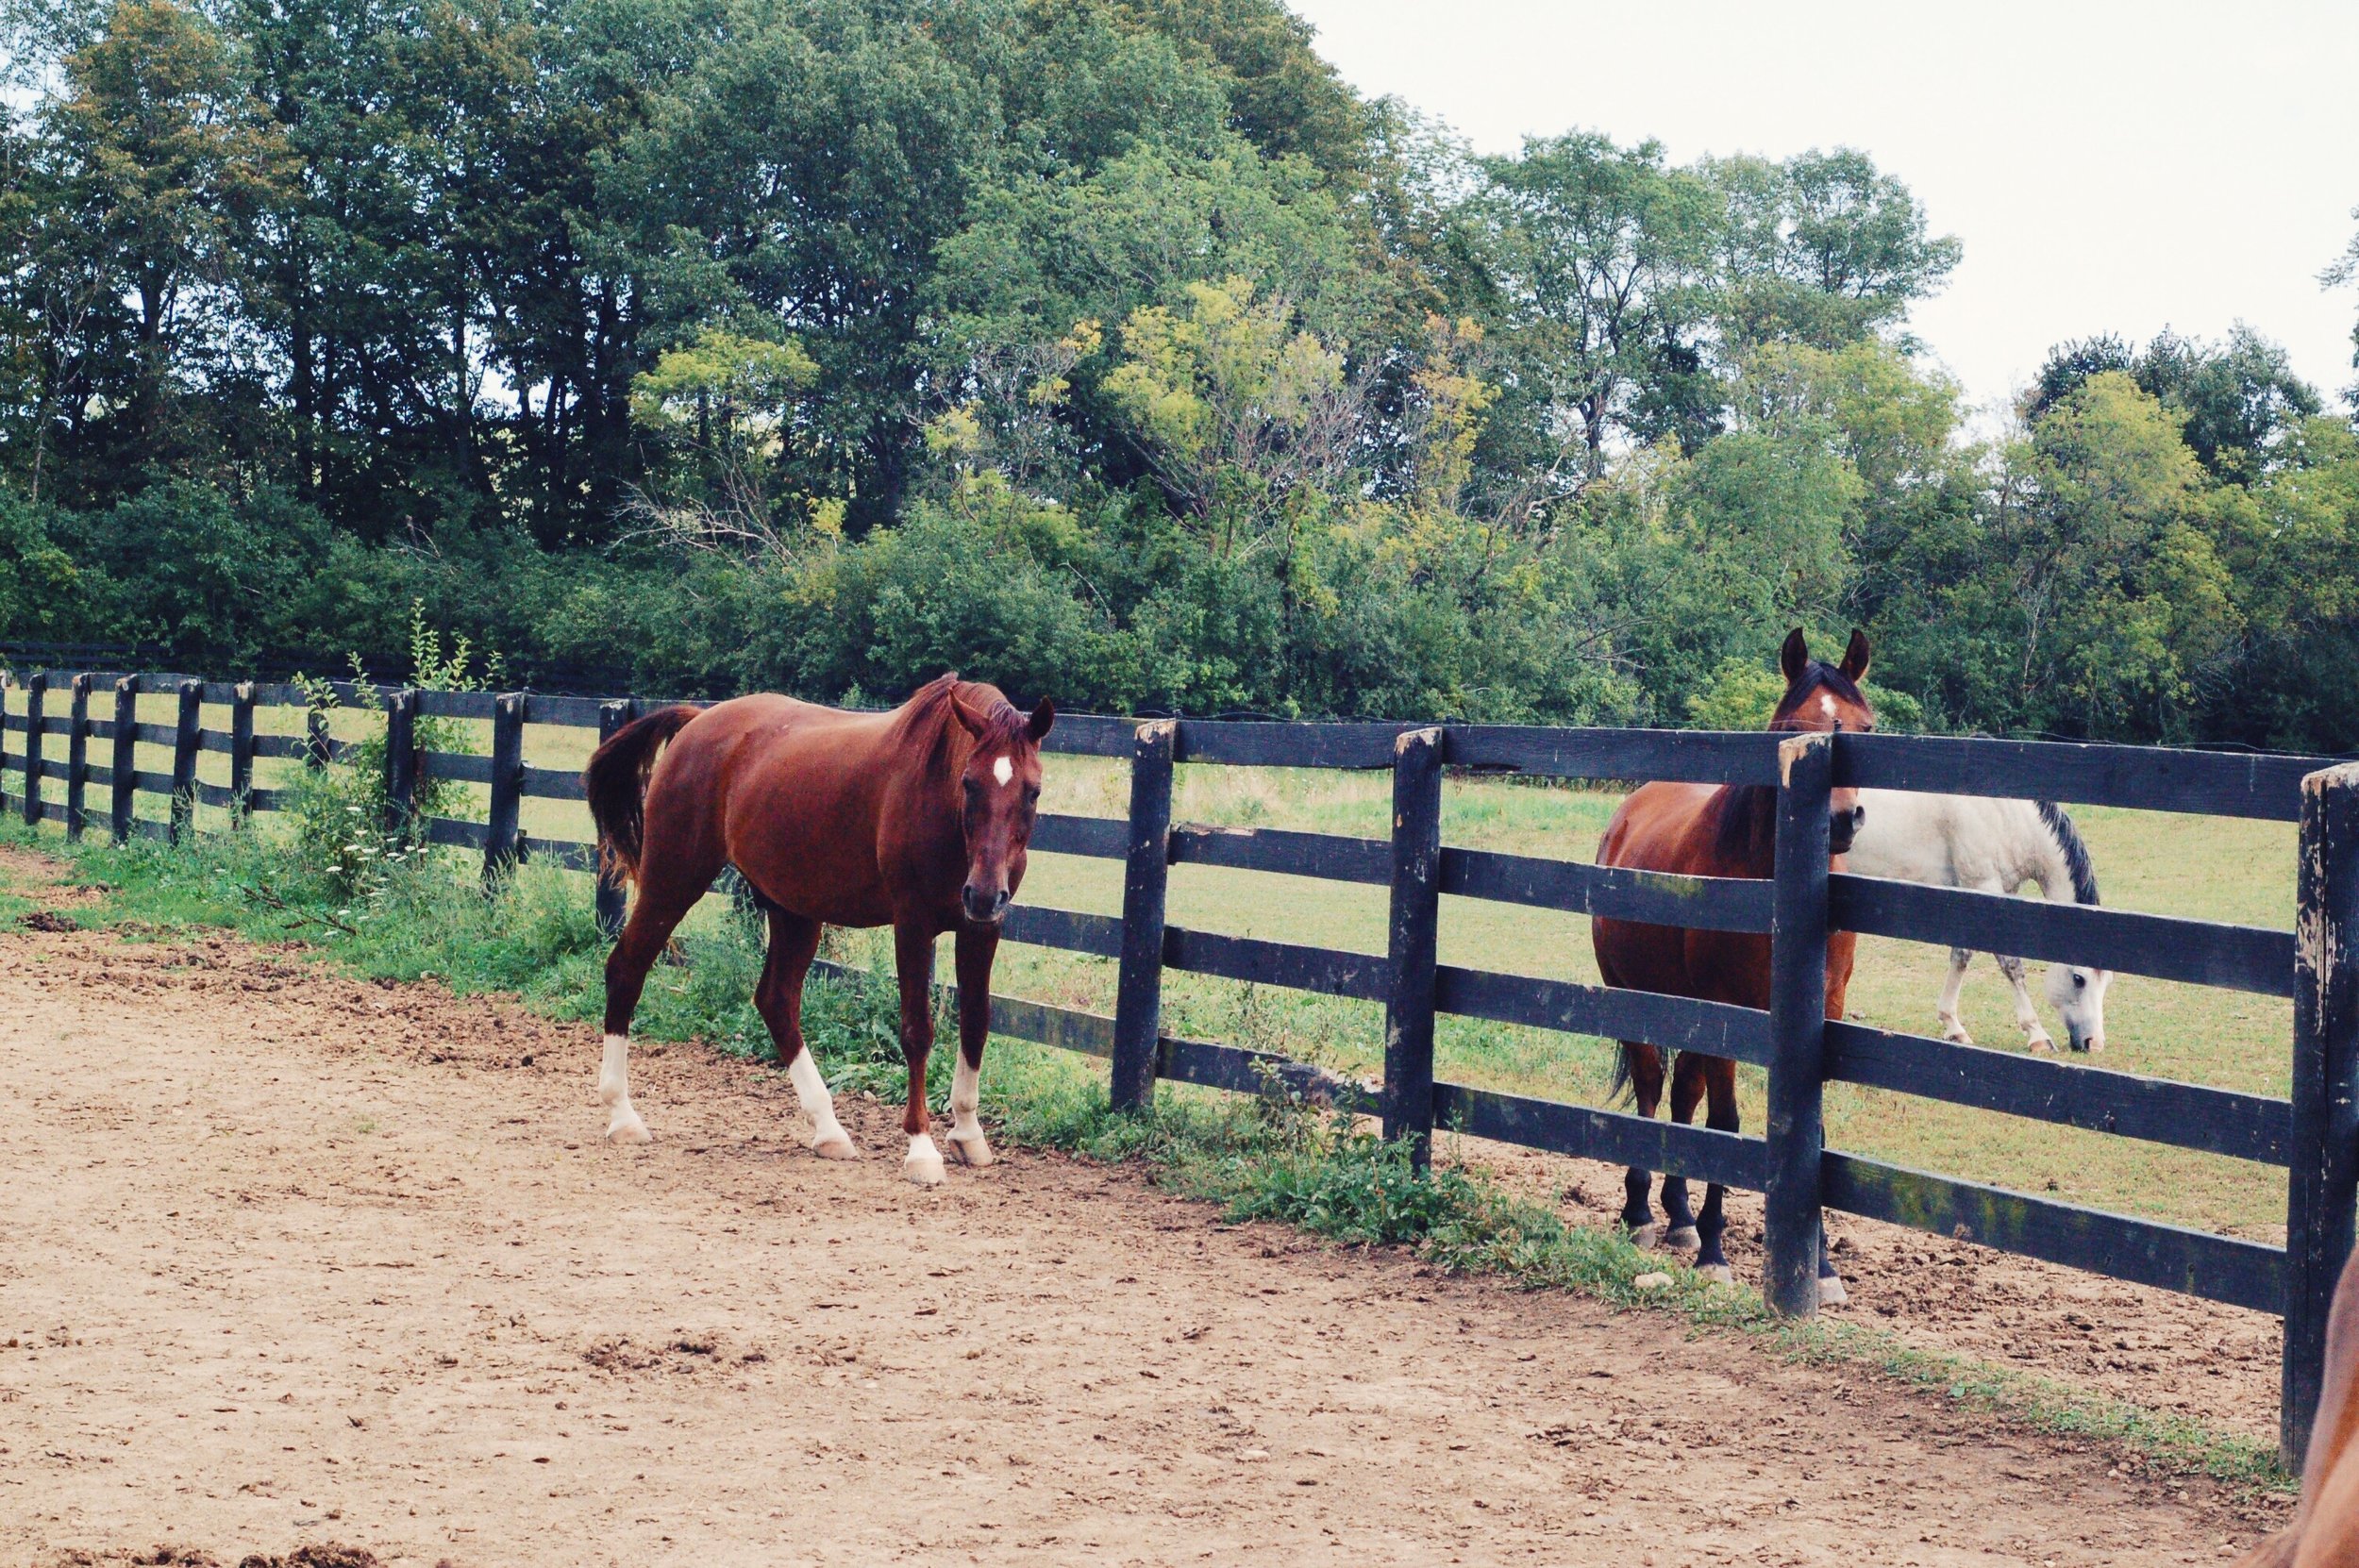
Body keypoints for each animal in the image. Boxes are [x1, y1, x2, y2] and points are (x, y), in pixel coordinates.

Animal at [580, 664, 1052, 1178]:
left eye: (1033, 791)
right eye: (969, 783)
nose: (984, 893)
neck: (938, 796)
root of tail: (696, 723)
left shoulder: (981, 928)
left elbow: (976, 1022)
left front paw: (968, 1134)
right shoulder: (912, 924)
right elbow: (917, 1031)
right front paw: (921, 1148)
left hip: (794, 911)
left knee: (776, 1001)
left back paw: (828, 1129)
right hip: (672, 883)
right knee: (626, 970)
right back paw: (623, 1116)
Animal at [1595, 631, 1868, 1301]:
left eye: (1866, 728)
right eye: (1791, 729)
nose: (1841, 820)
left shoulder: (1821, 1019)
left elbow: (1810, 1138)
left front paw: (1822, 1268)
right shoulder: (1729, 1014)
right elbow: (1726, 1122)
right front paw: (1716, 1254)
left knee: (1681, 1094)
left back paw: (1679, 1217)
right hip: (1638, 999)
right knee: (1651, 1086)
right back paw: (1643, 1213)